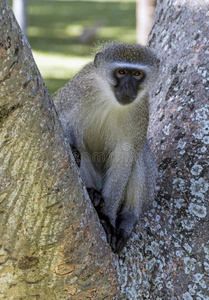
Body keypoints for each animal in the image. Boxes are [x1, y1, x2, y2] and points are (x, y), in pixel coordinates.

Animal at [54, 42, 159, 253]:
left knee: (137, 155)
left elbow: (124, 157)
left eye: (137, 74)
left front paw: (108, 219)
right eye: (121, 72)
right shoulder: (78, 90)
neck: (109, 99)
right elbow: (61, 118)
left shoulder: (140, 111)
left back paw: (127, 218)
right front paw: (73, 151)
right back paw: (92, 194)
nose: (127, 87)